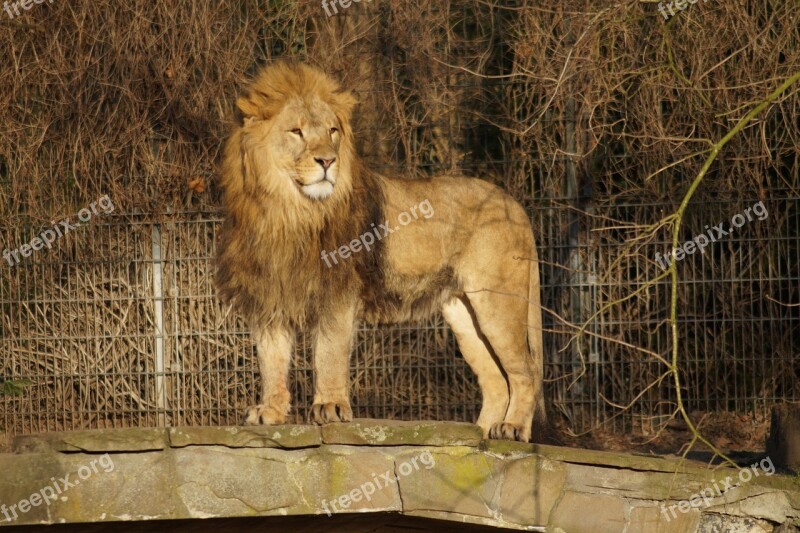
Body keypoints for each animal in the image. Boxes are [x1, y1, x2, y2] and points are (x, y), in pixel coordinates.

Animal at [216, 61, 548, 440]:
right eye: (296, 131)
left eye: (332, 130)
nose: (327, 161)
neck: (288, 211)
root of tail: (515, 204)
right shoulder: (270, 295)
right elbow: (271, 360)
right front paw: (269, 412)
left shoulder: (338, 292)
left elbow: (329, 352)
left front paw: (330, 407)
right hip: (464, 313)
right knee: (495, 379)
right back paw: (478, 435)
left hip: (498, 302)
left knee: (525, 371)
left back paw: (512, 428)